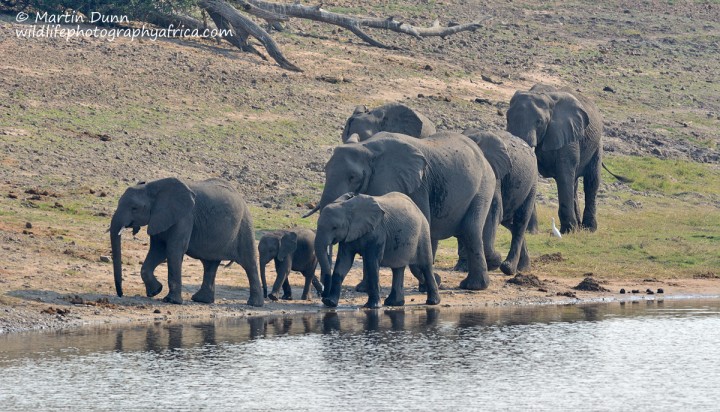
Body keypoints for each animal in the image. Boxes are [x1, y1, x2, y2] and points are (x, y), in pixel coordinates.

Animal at [111, 177, 268, 306]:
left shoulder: (185, 216)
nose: (120, 294)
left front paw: (170, 301)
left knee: (248, 263)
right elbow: (158, 251)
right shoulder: (159, 218)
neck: (153, 186)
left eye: (134, 208)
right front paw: (155, 291)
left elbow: (173, 250)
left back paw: (254, 304)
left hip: (245, 225)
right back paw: (201, 300)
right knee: (210, 265)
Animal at [304, 131, 496, 290]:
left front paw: (433, 281)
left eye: (353, 177)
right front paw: (362, 289)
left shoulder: (417, 186)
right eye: (325, 170)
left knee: (470, 230)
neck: (367, 147)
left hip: (484, 186)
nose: (323, 286)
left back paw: (473, 286)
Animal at [510, 84, 612, 233]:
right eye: (507, 118)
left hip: (597, 145)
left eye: (539, 122)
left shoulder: (567, 133)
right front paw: (531, 232)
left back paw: (588, 229)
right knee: (574, 183)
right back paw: (579, 227)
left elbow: (564, 172)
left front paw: (568, 231)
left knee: (591, 182)